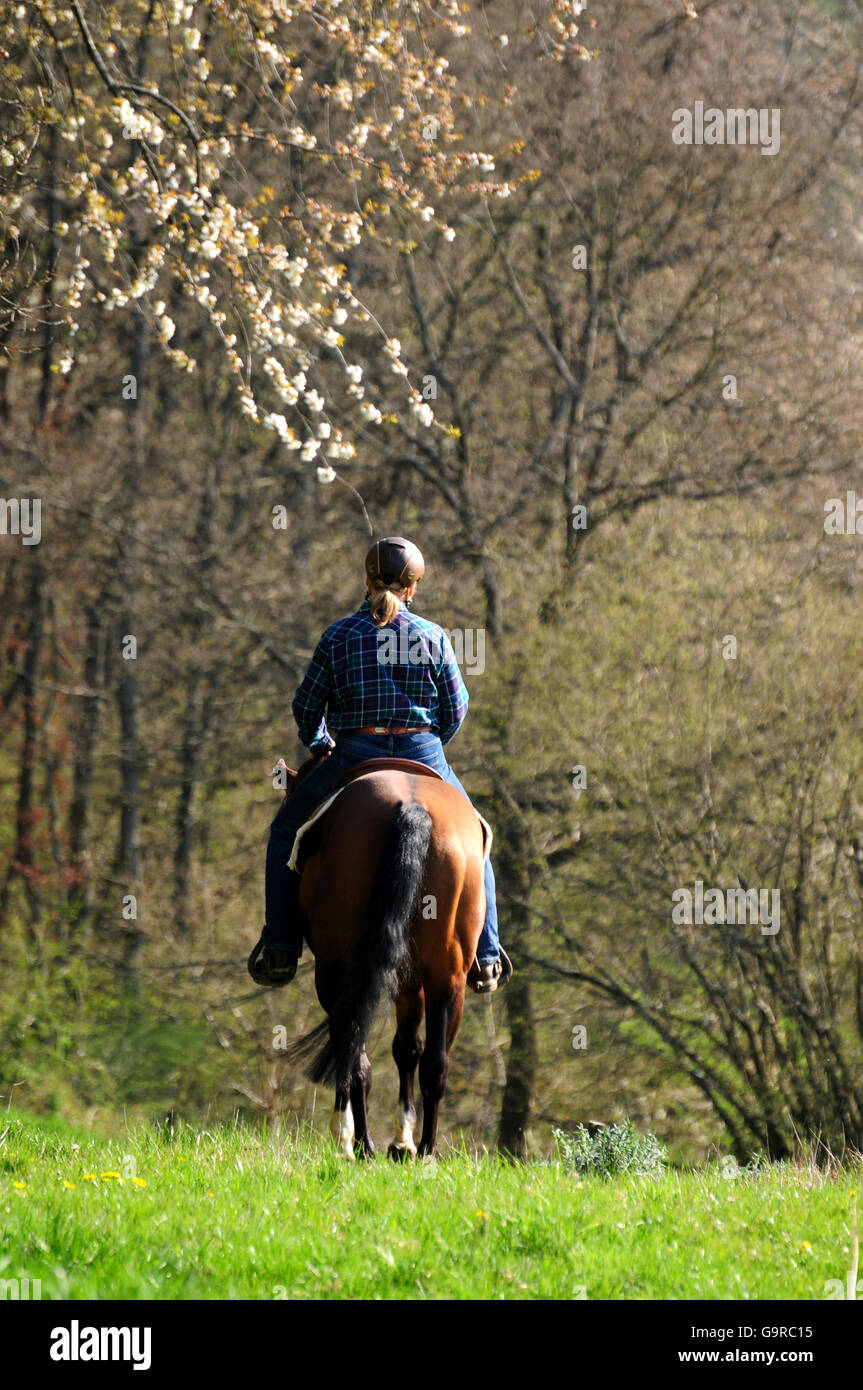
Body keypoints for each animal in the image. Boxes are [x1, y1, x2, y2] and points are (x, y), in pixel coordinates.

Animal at [280, 756, 489, 1156]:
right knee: (435, 1064)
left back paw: (357, 1144)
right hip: (448, 976)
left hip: (337, 970)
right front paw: (402, 1140)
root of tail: (412, 808)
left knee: (354, 1050)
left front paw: (363, 1138)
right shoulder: (410, 984)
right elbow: (408, 1049)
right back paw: (425, 1151)